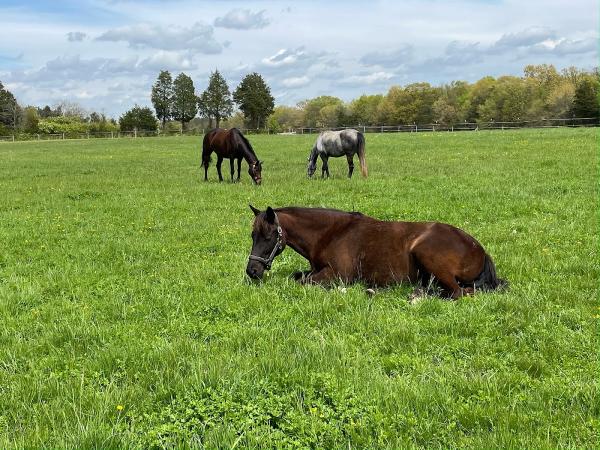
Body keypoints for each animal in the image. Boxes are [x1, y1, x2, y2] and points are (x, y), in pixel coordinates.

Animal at [246, 207, 508, 298]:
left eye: (268, 236)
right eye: (252, 236)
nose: (252, 270)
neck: (331, 233)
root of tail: (480, 250)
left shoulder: (337, 274)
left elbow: (304, 282)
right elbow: (298, 277)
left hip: (428, 256)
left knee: (458, 293)